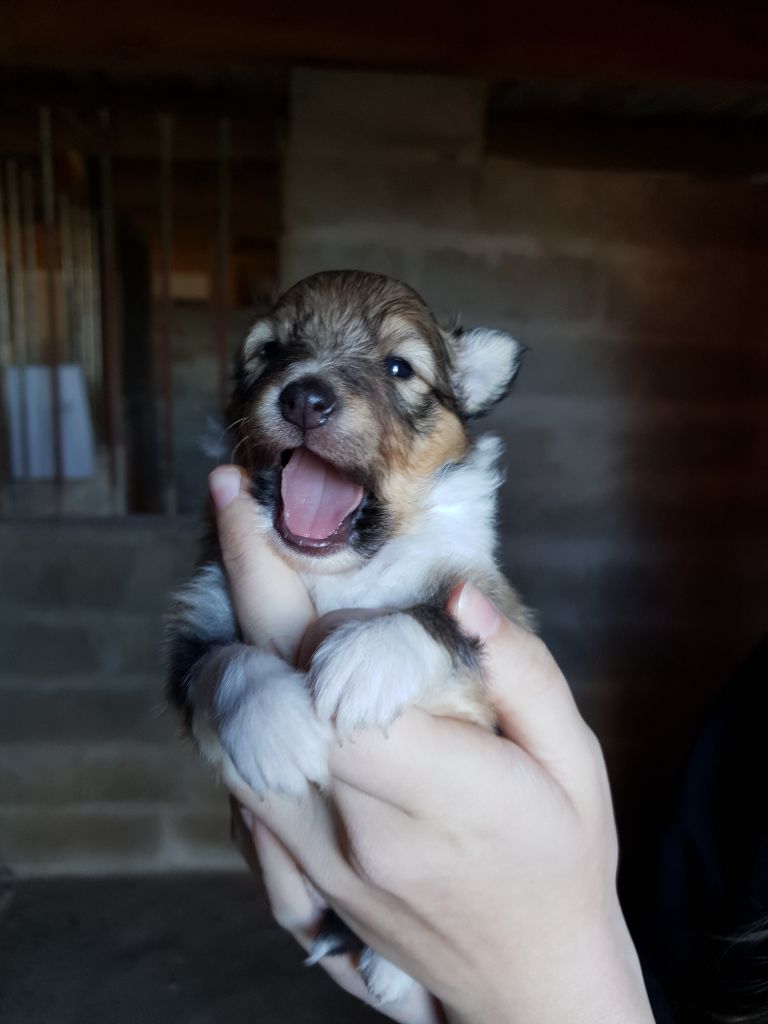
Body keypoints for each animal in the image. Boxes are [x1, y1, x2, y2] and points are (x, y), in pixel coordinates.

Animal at [165, 268, 532, 1003]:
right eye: (271, 351)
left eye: (398, 368)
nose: (305, 396)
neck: (338, 571)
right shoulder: (197, 621)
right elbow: (223, 661)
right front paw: (273, 725)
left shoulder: (488, 606)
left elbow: (440, 618)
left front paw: (367, 658)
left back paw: (392, 965)